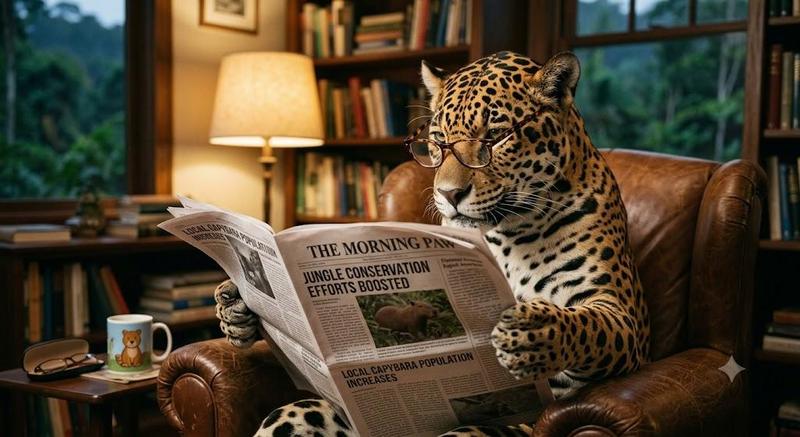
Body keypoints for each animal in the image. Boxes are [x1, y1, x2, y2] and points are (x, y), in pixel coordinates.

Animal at [215, 50, 651, 437]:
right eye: (438, 141)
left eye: (495, 137)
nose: (449, 194)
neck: (509, 234)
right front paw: (235, 306)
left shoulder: (624, 317)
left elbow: (587, 325)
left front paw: (536, 330)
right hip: (303, 412)